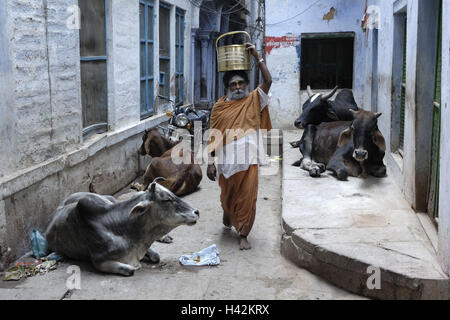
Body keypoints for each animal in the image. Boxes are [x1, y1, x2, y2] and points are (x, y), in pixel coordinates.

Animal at [45, 179, 199, 276]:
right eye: (166, 199)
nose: (196, 212)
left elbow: (156, 256)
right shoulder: (99, 261)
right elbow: (131, 269)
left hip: (110, 199)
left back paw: (165, 237)